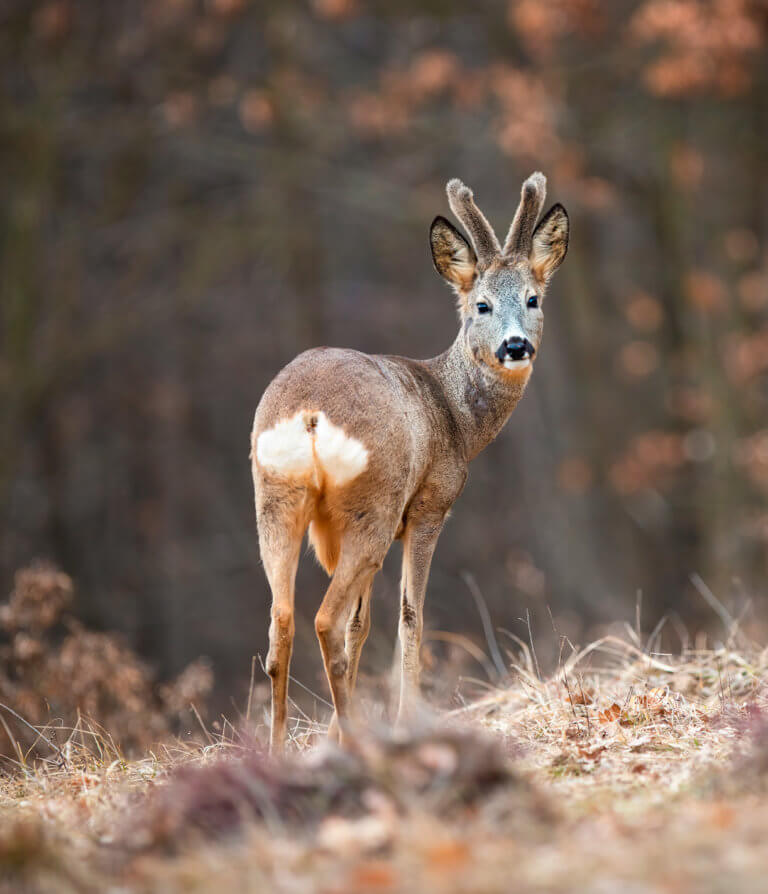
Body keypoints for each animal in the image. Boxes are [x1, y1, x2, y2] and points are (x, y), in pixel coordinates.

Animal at [254, 172, 568, 752]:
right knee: (325, 620)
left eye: (533, 299)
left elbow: (364, 625)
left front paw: (332, 732)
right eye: (481, 305)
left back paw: (279, 750)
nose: (515, 346)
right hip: (372, 506)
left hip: (276, 499)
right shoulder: (429, 507)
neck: (456, 418)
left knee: (282, 621)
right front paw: (404, 720)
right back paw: (358, 741)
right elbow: (409, 617)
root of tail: (309, 412)